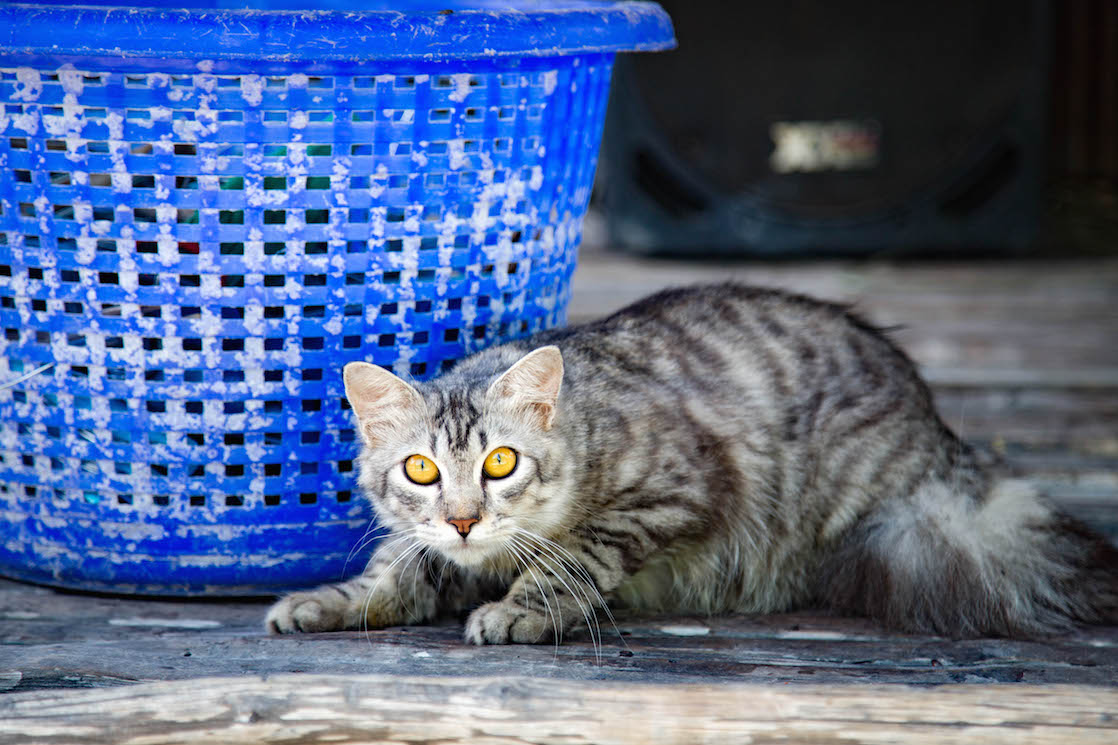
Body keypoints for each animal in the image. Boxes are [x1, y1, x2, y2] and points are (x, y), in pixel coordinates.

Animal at [263, 281, 1118, 639]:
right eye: (421, 470)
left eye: (501, 462)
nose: (467, 519)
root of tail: (941, 436)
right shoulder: (432, 544)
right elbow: (395, 570)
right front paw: (330, 602)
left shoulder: (676, 486)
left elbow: (577, 556)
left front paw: (520, 610)